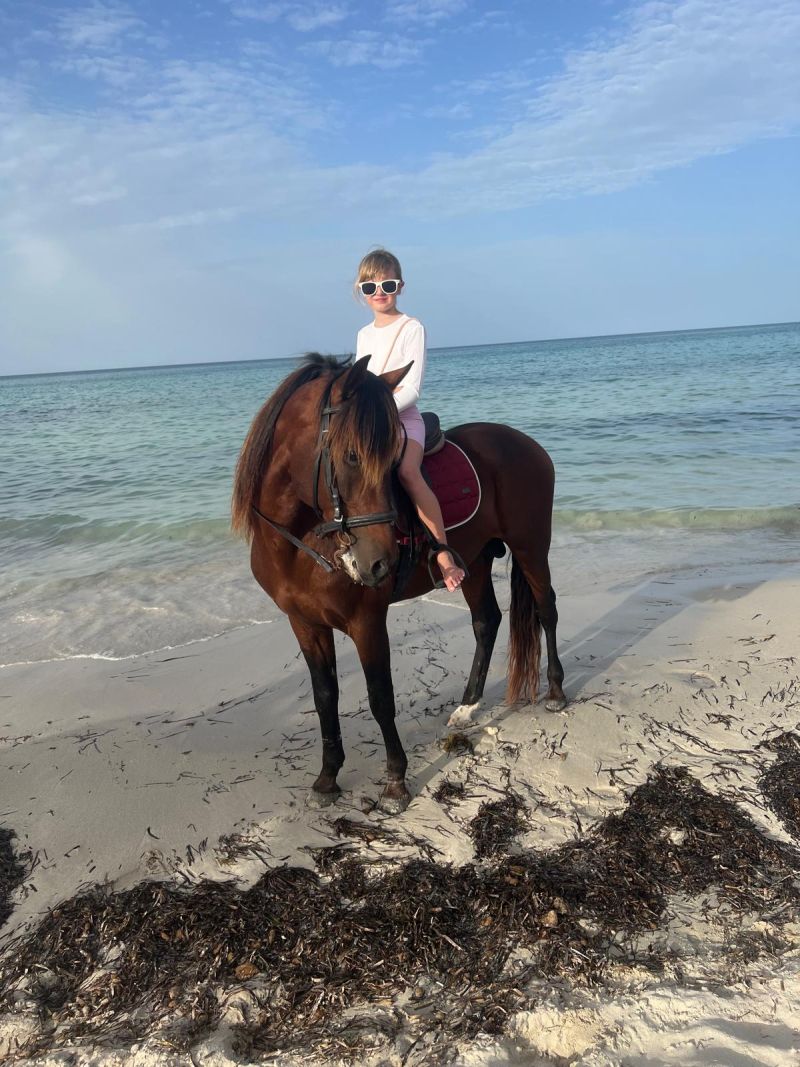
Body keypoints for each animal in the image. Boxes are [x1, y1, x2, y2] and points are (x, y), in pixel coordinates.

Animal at [231, 354, 566, 812]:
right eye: (351, 456)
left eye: (391, 460)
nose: (379, 563)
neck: (301, 545)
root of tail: (526, 443)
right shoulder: (305, 624)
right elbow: (325, 697)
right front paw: (327, 778)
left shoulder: (367, 622)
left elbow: (379, 697)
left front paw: (394, 781)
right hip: (476, 561)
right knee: (487, 622)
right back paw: (467, 708)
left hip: (531, 545)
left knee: (546, 608)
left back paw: (555, 692)